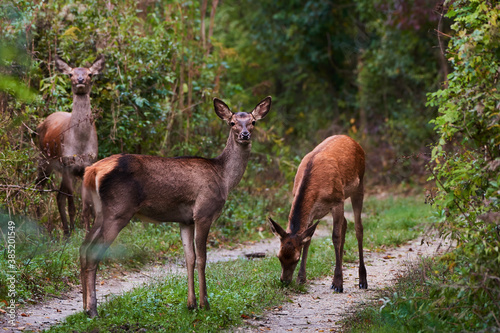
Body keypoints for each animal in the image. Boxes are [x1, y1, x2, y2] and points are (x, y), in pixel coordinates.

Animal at [36, 54, 105, 235]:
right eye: (70, 74)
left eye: (90, 74)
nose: (80, 79)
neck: (80, 144)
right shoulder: (67, 163)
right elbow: (72, 206)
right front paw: (76, 232)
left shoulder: (86, 166)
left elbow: (88, 207)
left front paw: (87, 231)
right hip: (44, 159)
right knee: (39, 188)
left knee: (58, 196)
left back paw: (66, 231)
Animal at [79, 94, 272, 316]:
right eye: (232, 123)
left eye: (253, 121)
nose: (245, 134)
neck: (223, 177)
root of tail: (92, 171)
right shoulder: (204, 212)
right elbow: (202, 258)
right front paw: (205, 304)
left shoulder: (185, 220)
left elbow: (189, 258)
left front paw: (191, 304)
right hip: (118, 210)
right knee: (92, 252)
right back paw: (93, 310)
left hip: (101, 212)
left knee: (83, 248)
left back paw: (85, 307)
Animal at [270, 134, 368, 292]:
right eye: (279, 256)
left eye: (296, 258)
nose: (284, 281)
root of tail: (352, 140)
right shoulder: (311, 214)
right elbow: (308, 241)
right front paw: (301, 279)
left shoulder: (337, 201)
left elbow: (335, 237)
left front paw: (338, 283)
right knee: (345, 223)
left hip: (359, 185)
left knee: (358, 228)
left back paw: (362, 280)